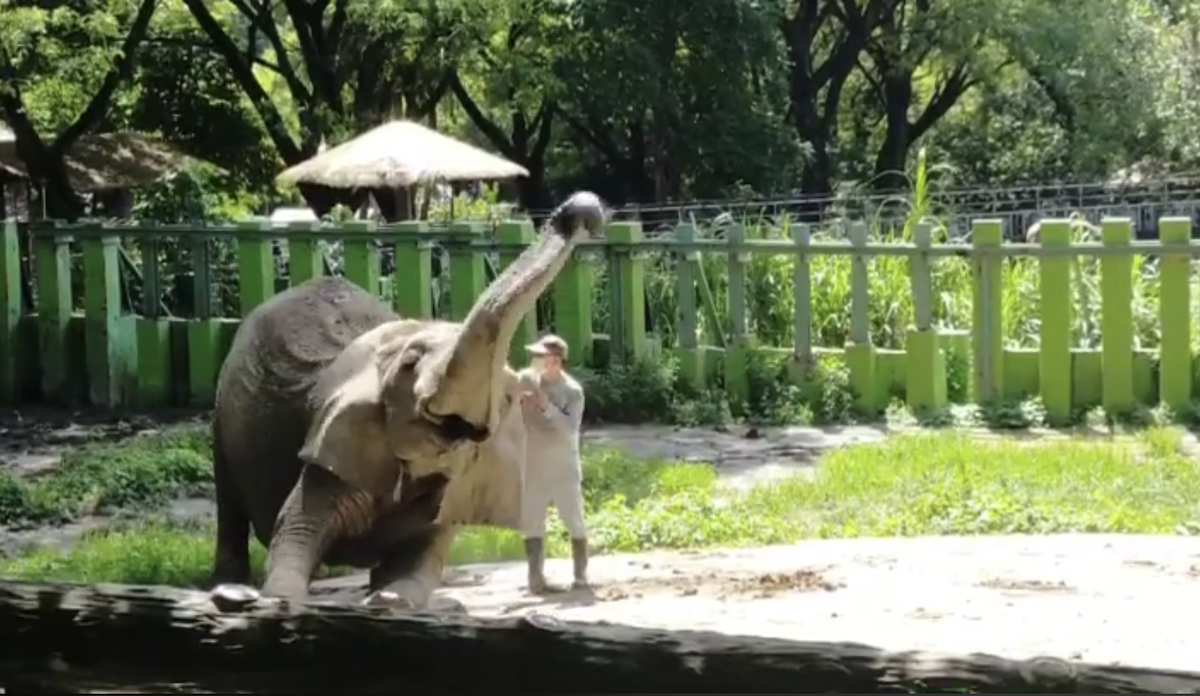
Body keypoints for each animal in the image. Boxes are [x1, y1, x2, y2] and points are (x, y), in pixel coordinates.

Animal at [206, 190, 604, 609]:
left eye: (508, 396)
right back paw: (229, 584)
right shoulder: (333, 441)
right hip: (222, 406)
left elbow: (425, 557)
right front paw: (278, 600)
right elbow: (296, 527)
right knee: (228, 500)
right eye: (411, 364)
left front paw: (390, 599)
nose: (582, 210)